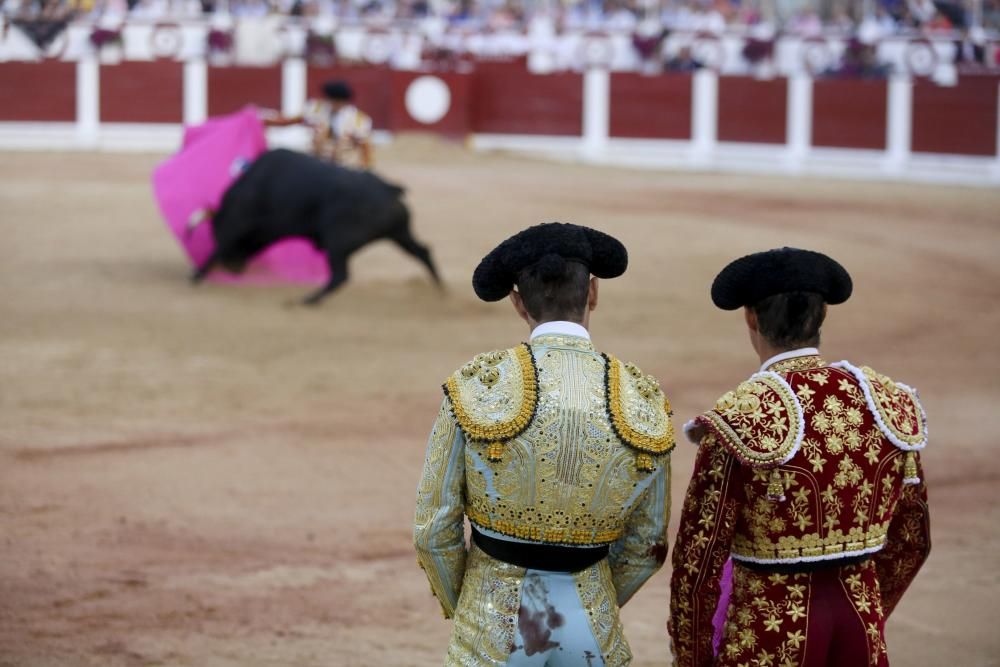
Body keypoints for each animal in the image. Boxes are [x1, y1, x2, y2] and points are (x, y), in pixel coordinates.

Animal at [191, 149, 442, 306]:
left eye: (215, 229)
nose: (234, 269)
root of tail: (389, 189)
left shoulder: (237, 224)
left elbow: (218, 247)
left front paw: (195, 276)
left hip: (337, 242)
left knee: (340, 276)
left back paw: (308, 300)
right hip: (399, 234)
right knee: (423, 251)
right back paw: (441, 290)